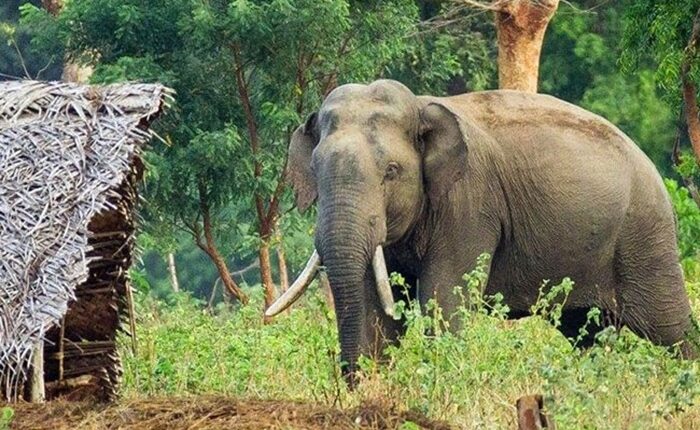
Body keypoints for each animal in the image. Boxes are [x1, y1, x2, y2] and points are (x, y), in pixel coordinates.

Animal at [266, 79, 696, 382]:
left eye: (391, 171)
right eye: (316, 168)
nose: (351, 382)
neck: (421, 105)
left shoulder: (469, 203)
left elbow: (442, 298)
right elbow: (376, 306)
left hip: (644, 236)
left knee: (670, 326)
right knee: (586, 333)